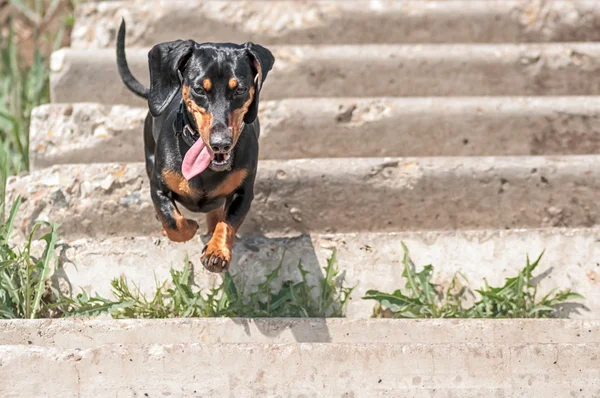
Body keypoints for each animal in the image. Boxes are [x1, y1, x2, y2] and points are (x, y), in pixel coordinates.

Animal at [116, 20, 276, 272]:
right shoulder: (158, 187)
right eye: (200, 89)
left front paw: (217, 251)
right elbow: (173, 221)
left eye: (240, 90)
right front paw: (189, 226)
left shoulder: (244, 193)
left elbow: (227, 222)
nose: (220, 144)